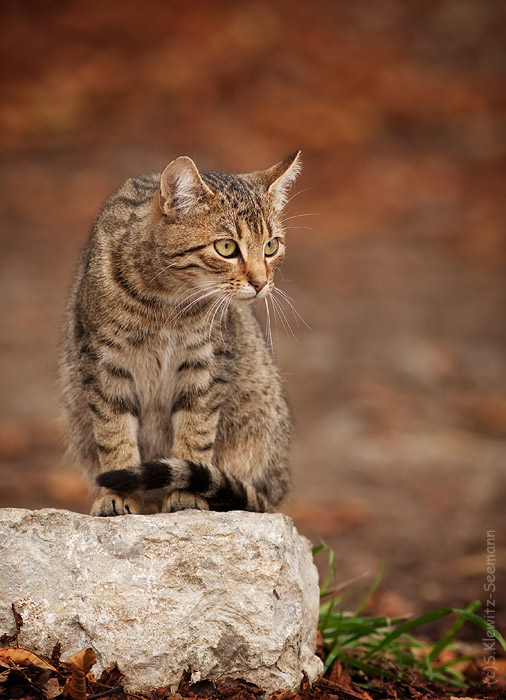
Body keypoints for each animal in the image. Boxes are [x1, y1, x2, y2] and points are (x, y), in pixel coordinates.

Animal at [61, 150, 302, 516]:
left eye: (271, 247)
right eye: (227, 247)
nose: (261, 283)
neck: (166, 303)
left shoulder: (207, 364)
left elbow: (195, 432)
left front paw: (186, 494)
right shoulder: (103, 363)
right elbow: (113, 434)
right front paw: (117, 494)